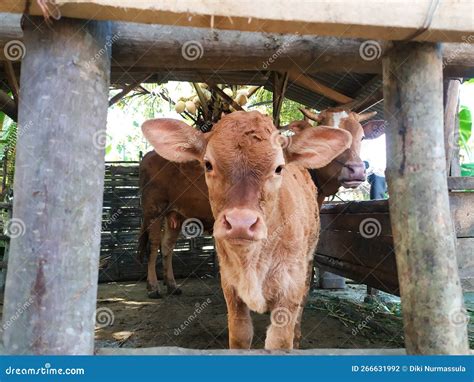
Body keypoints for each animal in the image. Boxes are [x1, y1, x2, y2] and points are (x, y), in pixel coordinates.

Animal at [143, 111, 350, 350]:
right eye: (208, 164)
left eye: (279, 168)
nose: (240, 222)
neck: (252, 263)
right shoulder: (230, 287)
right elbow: (240, 336)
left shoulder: (290, 289)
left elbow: (280, 341)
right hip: (155, 210)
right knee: (157, 245)